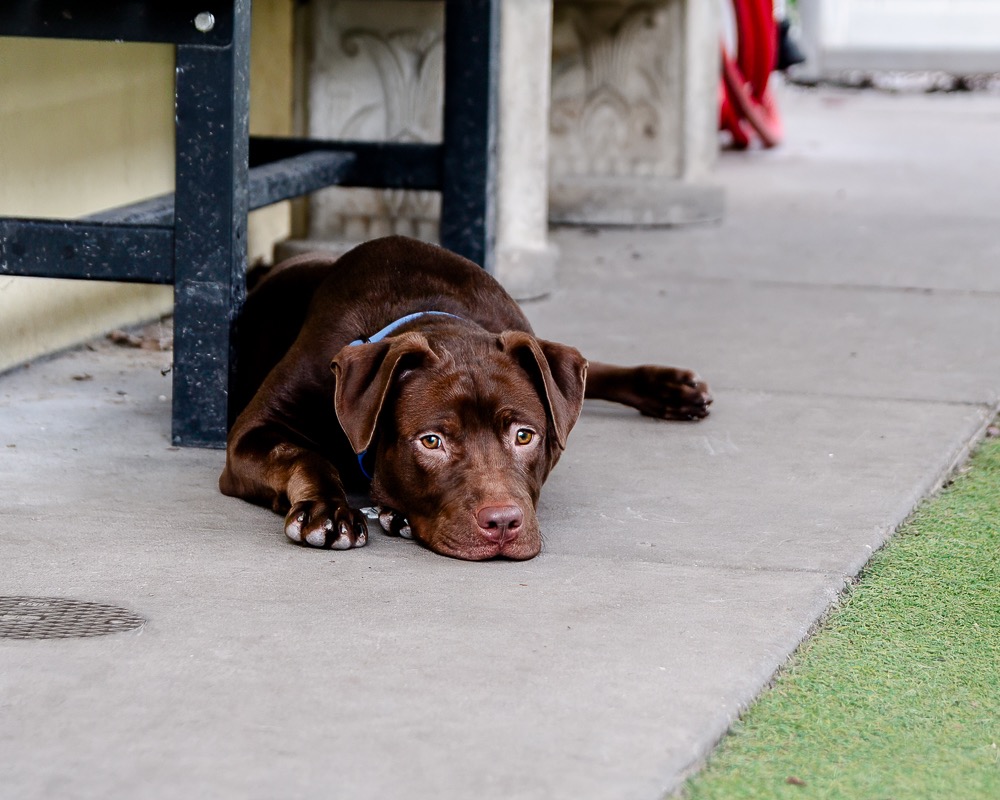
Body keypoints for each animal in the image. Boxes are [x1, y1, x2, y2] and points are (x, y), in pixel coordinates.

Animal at [220, 236, 711, 561]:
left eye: (525, 435)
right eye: (432, 441)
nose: (502, 524)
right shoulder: (251, 433)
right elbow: (304, 456)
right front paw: (329, 509)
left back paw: (668, 387)